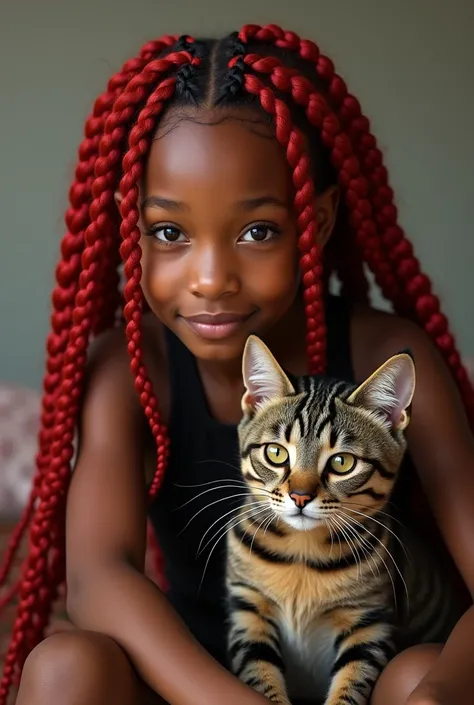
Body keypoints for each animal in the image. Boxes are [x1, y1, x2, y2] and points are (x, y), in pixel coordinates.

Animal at [228, 336, 462, 704]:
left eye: (342, 463)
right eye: (276, 453)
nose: (300, 497)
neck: (301, 552)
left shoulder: (367, 621)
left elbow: (351, 684)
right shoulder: (249, 609)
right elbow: (260, 678)